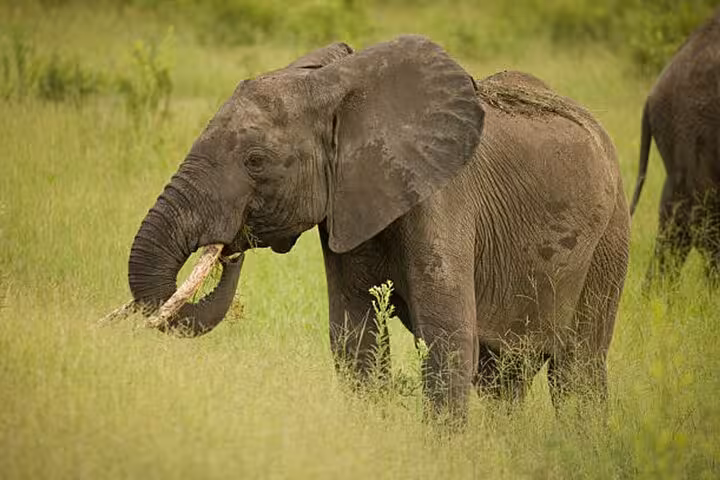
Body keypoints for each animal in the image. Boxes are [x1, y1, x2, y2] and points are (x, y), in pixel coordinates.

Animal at [128, 35, 630, 416]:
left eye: (255, 161)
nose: (230, 248)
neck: (340, 89)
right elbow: (354, 337)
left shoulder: (443, 198)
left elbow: (448, 340)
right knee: (503, 376)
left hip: (609, 239)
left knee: (578, 369)